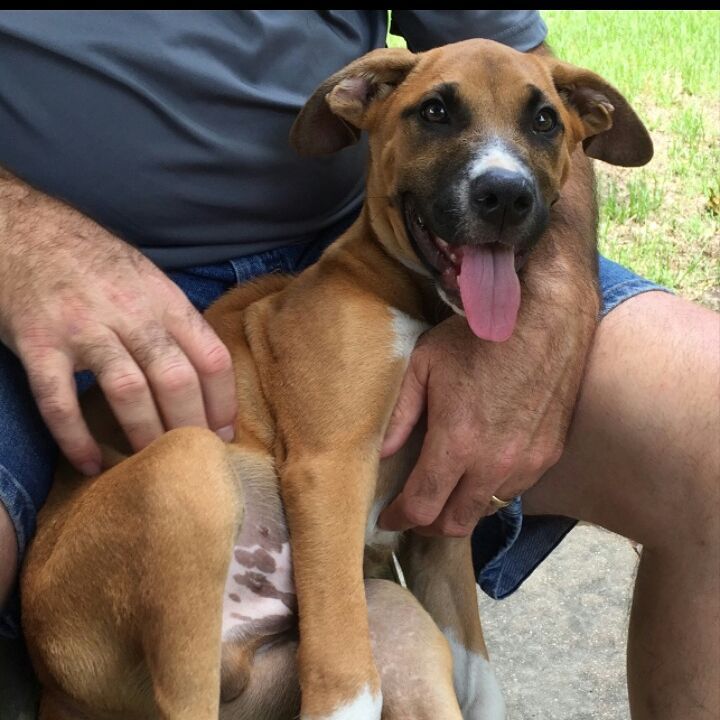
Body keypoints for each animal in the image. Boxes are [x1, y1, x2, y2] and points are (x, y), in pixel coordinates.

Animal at [22, 39, 652, 720]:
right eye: (435, 112)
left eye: (544, 121)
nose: (506, 196)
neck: (421, 304)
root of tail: (50, 686)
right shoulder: (330, 467)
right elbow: (348, 684)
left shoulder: (440, 527)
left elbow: (480, 679)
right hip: (184, 469)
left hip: (386, 610)